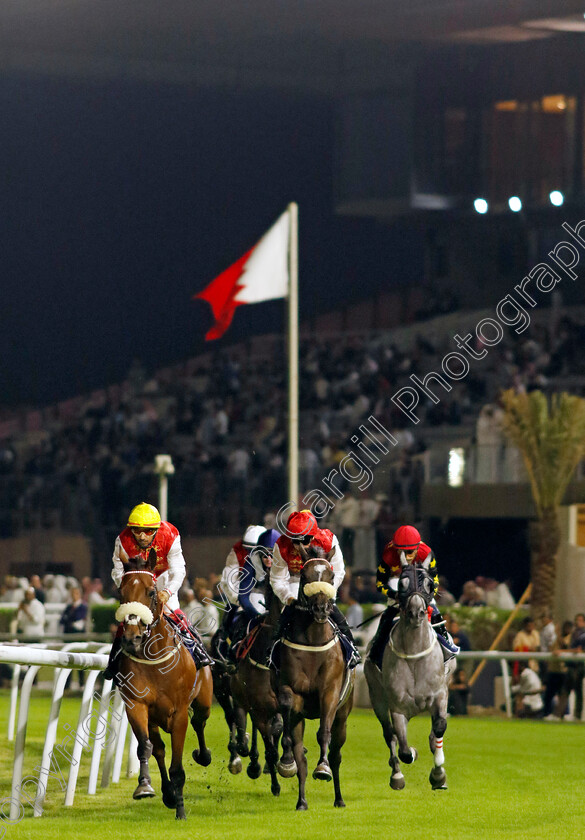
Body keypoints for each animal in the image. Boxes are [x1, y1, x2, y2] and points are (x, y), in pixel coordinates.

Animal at [115, 552, 213, 820]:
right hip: (155, 718)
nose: (132, 638)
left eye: (151, 591)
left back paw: (203, 756)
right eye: (121, 592)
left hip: (204, 699)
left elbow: (177, 767)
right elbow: (146, 747)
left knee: (199, 721)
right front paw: (144, 786)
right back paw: (167, 792)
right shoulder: (136, 705)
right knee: (158, 748)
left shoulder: (179, 713)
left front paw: (181, 810)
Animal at [274, 548, 352, 812]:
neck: (313, 640)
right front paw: (286, 761)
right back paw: (301, 801)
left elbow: (323, 733)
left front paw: (323, 767)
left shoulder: (330, 691)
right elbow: (287, 709)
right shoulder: (290, 690)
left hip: (343, 716)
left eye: (331, 575)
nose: (320, 609)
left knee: (337, 755)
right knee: (301, 759)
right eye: (305, 576)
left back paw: (339, 797)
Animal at [362, 564, 454, 796]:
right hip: (377, 698)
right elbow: (403, 749)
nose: (416, 613)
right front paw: (412, 754)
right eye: (401, 584)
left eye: (429, 583)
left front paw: (439, 774)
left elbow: (439, 727)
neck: (414, 655)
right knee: (389, 735)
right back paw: (396, 775)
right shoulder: (398, 708)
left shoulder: (440, 694)